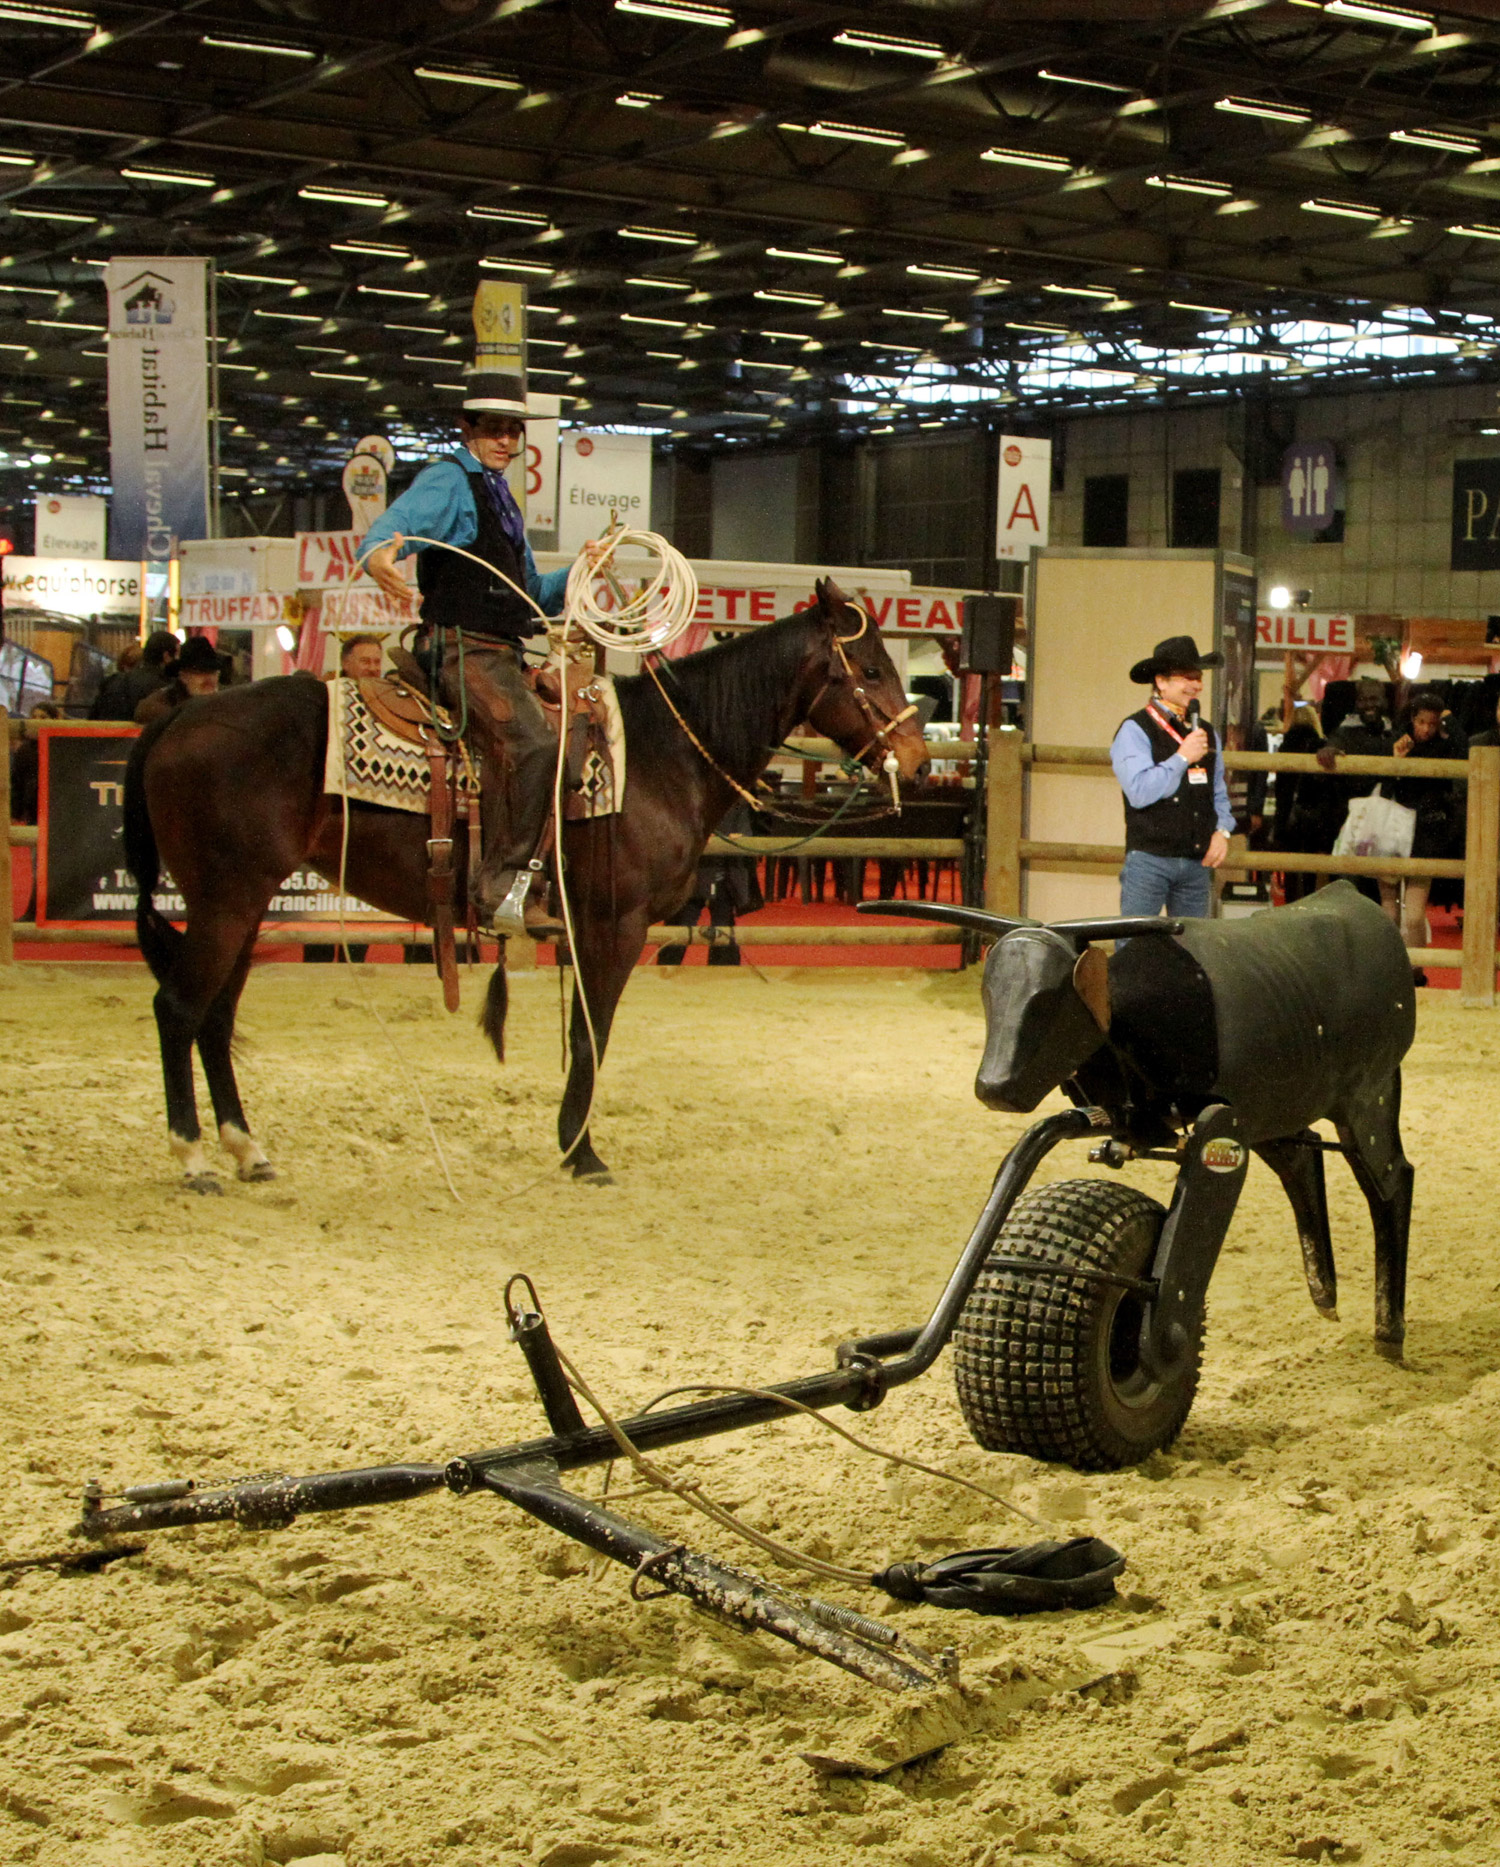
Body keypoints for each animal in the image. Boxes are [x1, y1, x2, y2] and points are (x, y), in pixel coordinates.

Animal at [126, 582, 926, 1187]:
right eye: (872, 669)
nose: (918, 760)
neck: (663, 753)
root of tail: (182, 715)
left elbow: (582, 1034)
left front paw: (574, 1143)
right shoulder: (615, 924)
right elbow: (591, 1034)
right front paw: (582, 1151)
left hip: (245, 904)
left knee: (215, 1017)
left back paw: (246, 1149)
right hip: (225, 901)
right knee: (177, 1008)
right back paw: (193, 1156)